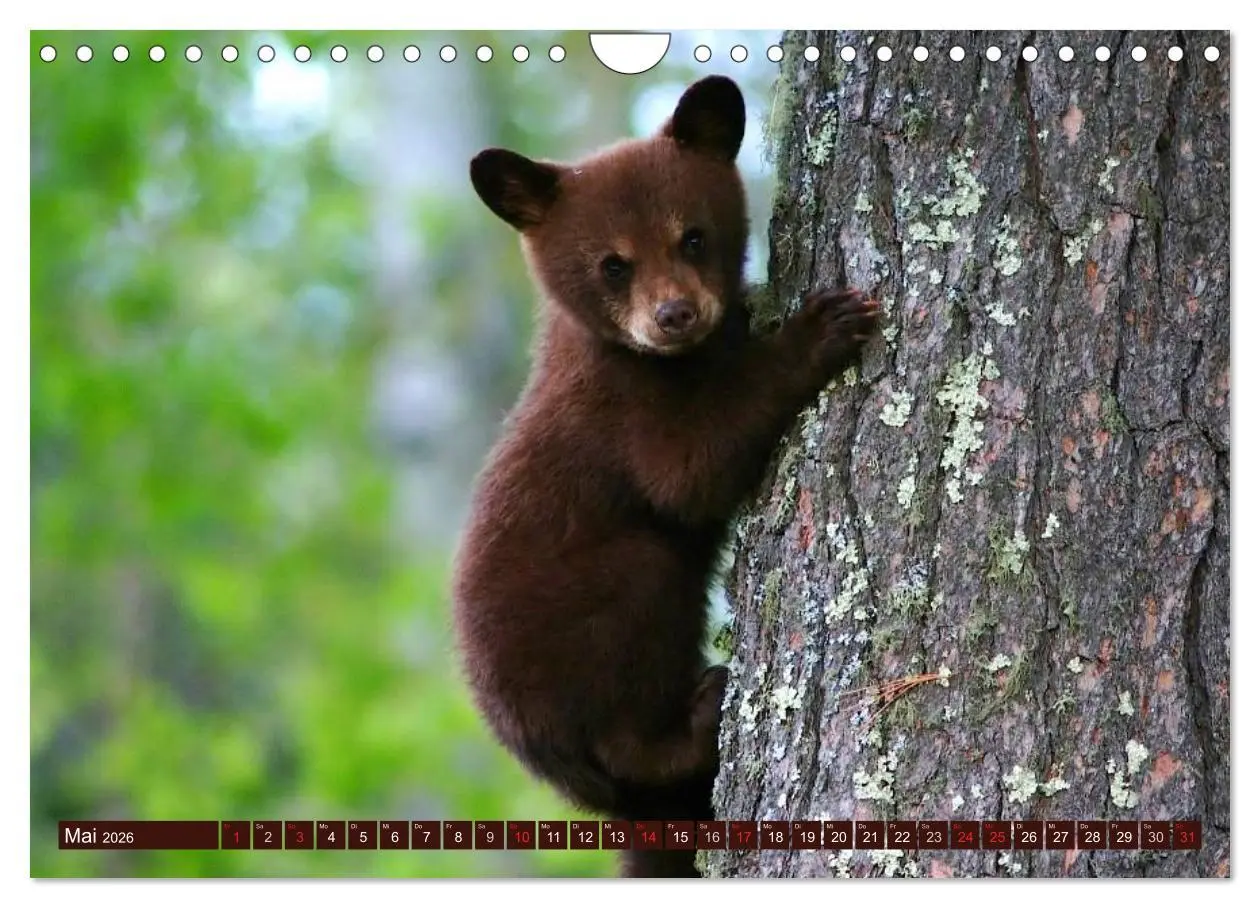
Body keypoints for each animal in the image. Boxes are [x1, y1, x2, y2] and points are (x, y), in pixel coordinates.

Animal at [452, 75, 880, 878]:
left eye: (693, 236)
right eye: (612, 263)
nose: (675, 314)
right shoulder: (619, 410)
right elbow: (689, 471)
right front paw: (821, 327)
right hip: (588, 626)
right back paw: (700, 713)